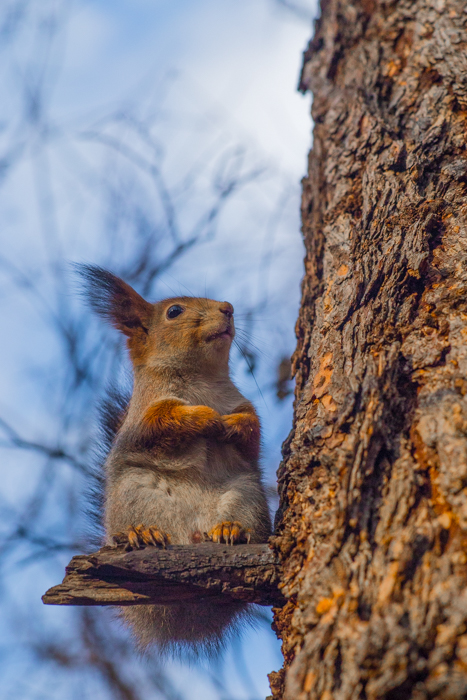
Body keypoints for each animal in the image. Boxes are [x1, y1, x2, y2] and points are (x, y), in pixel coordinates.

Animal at [78, 266, 272, 656]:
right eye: (174, 311)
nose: (228, 308)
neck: (202, 378)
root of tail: (192, 537)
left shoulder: (244, 408)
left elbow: (251, 430)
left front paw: (231, 423)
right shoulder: (143, 418)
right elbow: (166, 420)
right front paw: (204, 416)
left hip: (245, 493)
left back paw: (230, 529)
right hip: (134, 493)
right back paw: (143, 533)